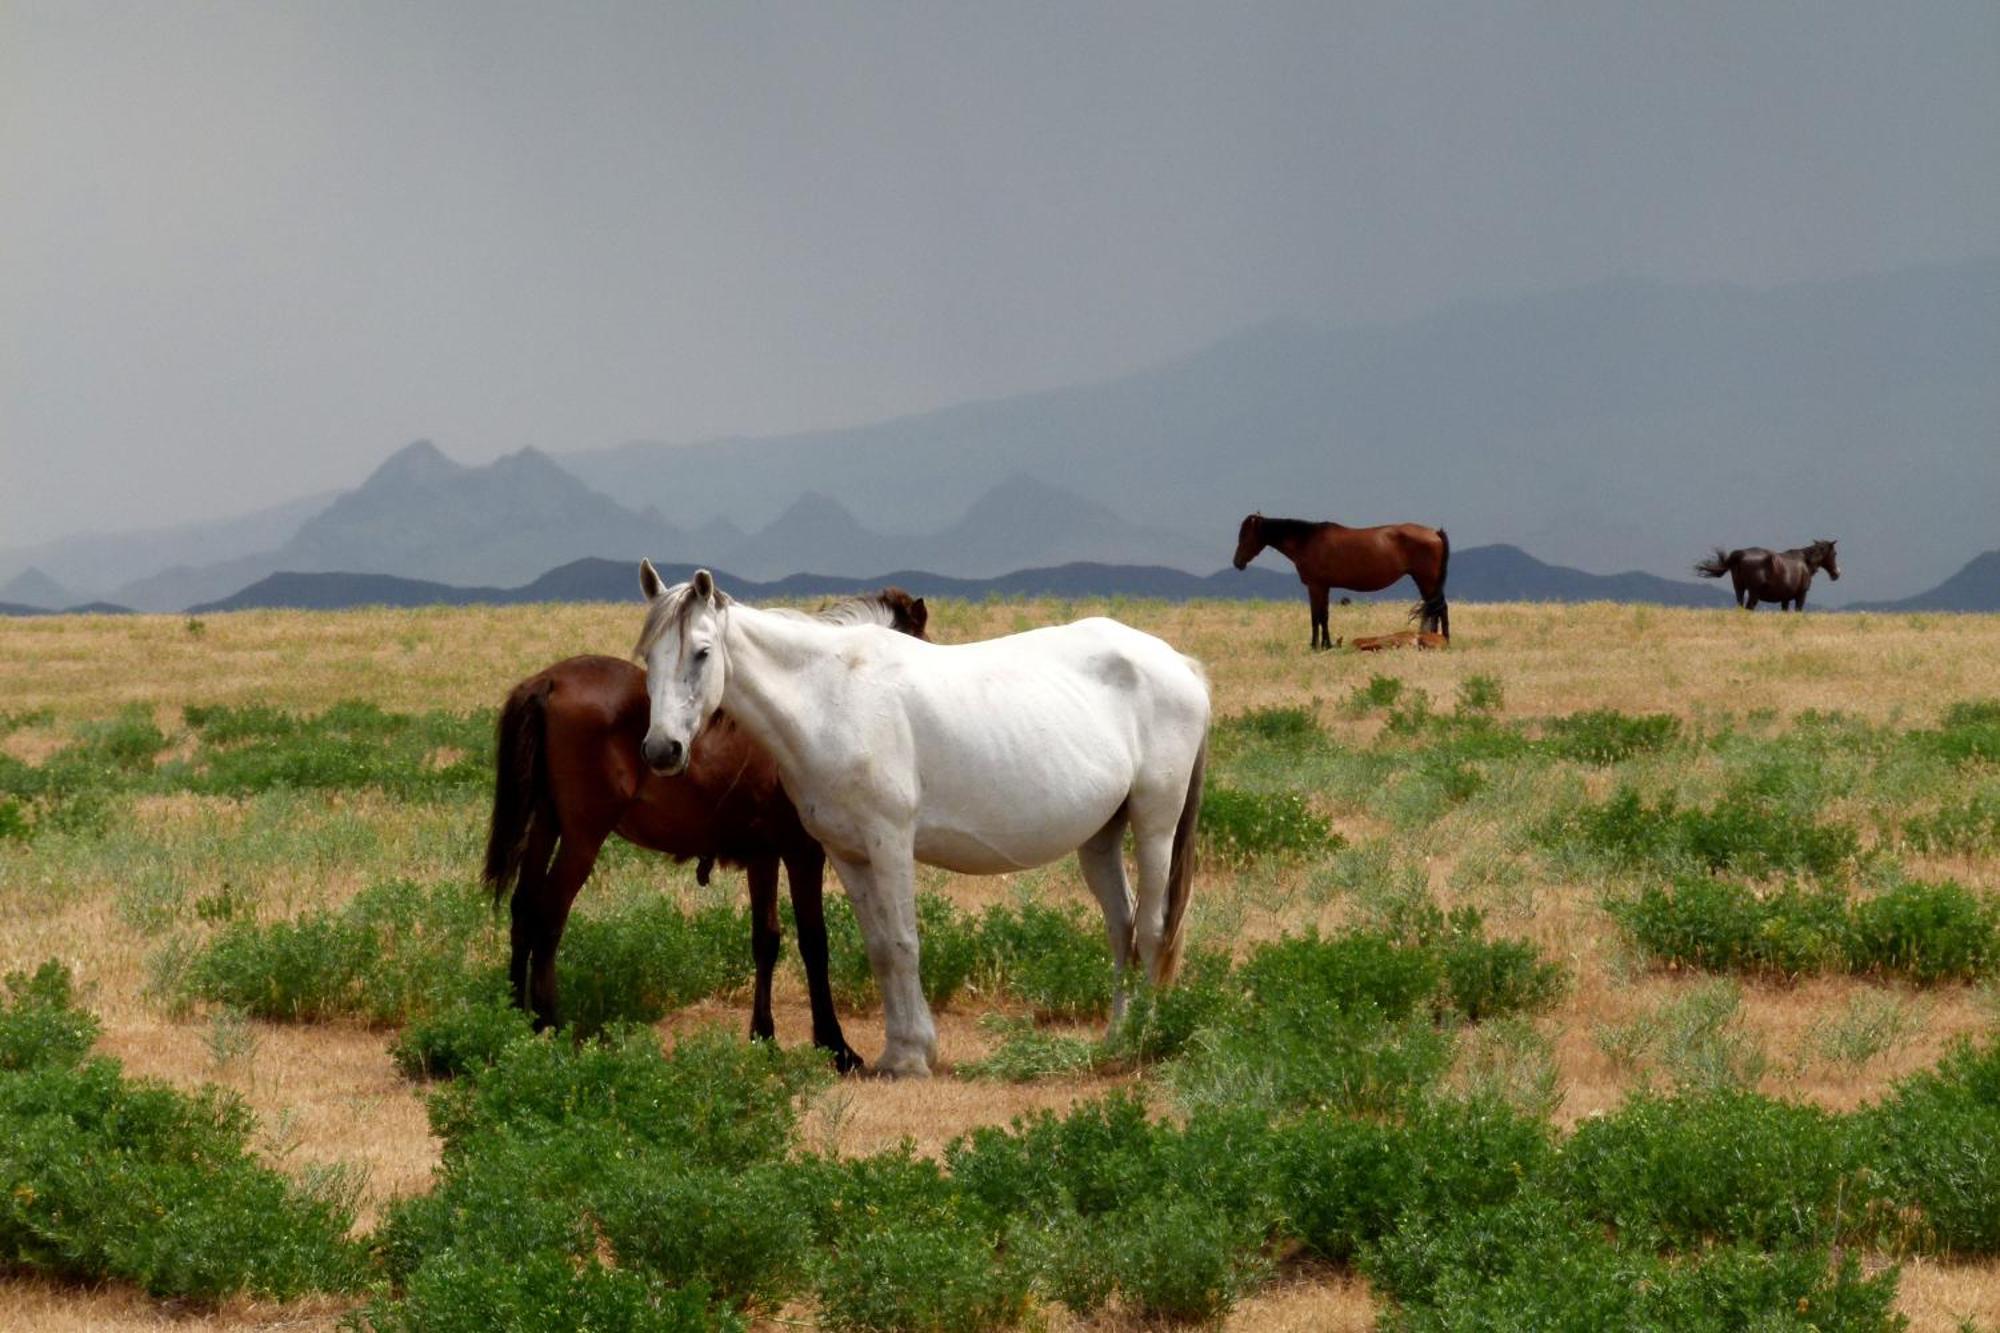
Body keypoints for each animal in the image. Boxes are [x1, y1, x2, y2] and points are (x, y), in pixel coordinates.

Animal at [484, 584, 928, 1072]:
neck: (806, 706)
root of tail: (550, 681)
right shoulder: (802, 853)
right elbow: (814, 942)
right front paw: (835, 1044)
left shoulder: (763, 855)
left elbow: (766, 939)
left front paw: (763, 1034)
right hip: (583, 837)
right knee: (549, 915)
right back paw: (550, 1024)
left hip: (547, 825)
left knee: (523, 908)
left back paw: (514, 1019)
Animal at [1232, 510, 1456, 644]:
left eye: (1245, 535)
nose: (1237, 562)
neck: (1307, 541)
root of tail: (1435, 533)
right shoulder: (1324, 587)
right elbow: (1324, 616)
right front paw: (1327, 645)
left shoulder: (1315, 586)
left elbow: (1316, 616)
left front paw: (1315, 646)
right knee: (1435, 609)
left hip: (1426, 580)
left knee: (1440, 608)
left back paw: (1443, 641)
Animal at [1696, 536, 1832, 608]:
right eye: (1834, 553)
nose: (1835, 574)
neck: (1805, 561)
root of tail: (1740, 554)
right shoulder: (1801, 595)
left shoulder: (1785, 599)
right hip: (1754, 593)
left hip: (1739, 588)